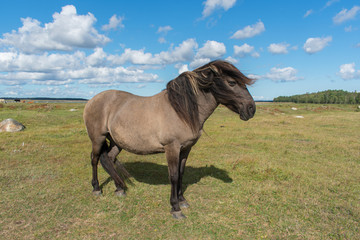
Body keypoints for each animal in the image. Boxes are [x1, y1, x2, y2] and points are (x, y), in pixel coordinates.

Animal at [83, 60, 256, 219]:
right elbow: (173, 176)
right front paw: (175, 208)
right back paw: (96, 189)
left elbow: (181, 173)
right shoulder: (171, 148)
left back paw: (119, 188)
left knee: (109, 159)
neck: (181, 111)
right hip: (98, 139)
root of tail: (91, 101)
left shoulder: (185, 149)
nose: (251, 109)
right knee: (95, 159)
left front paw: (182, 200)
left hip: (117, 142)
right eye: (232, 82)